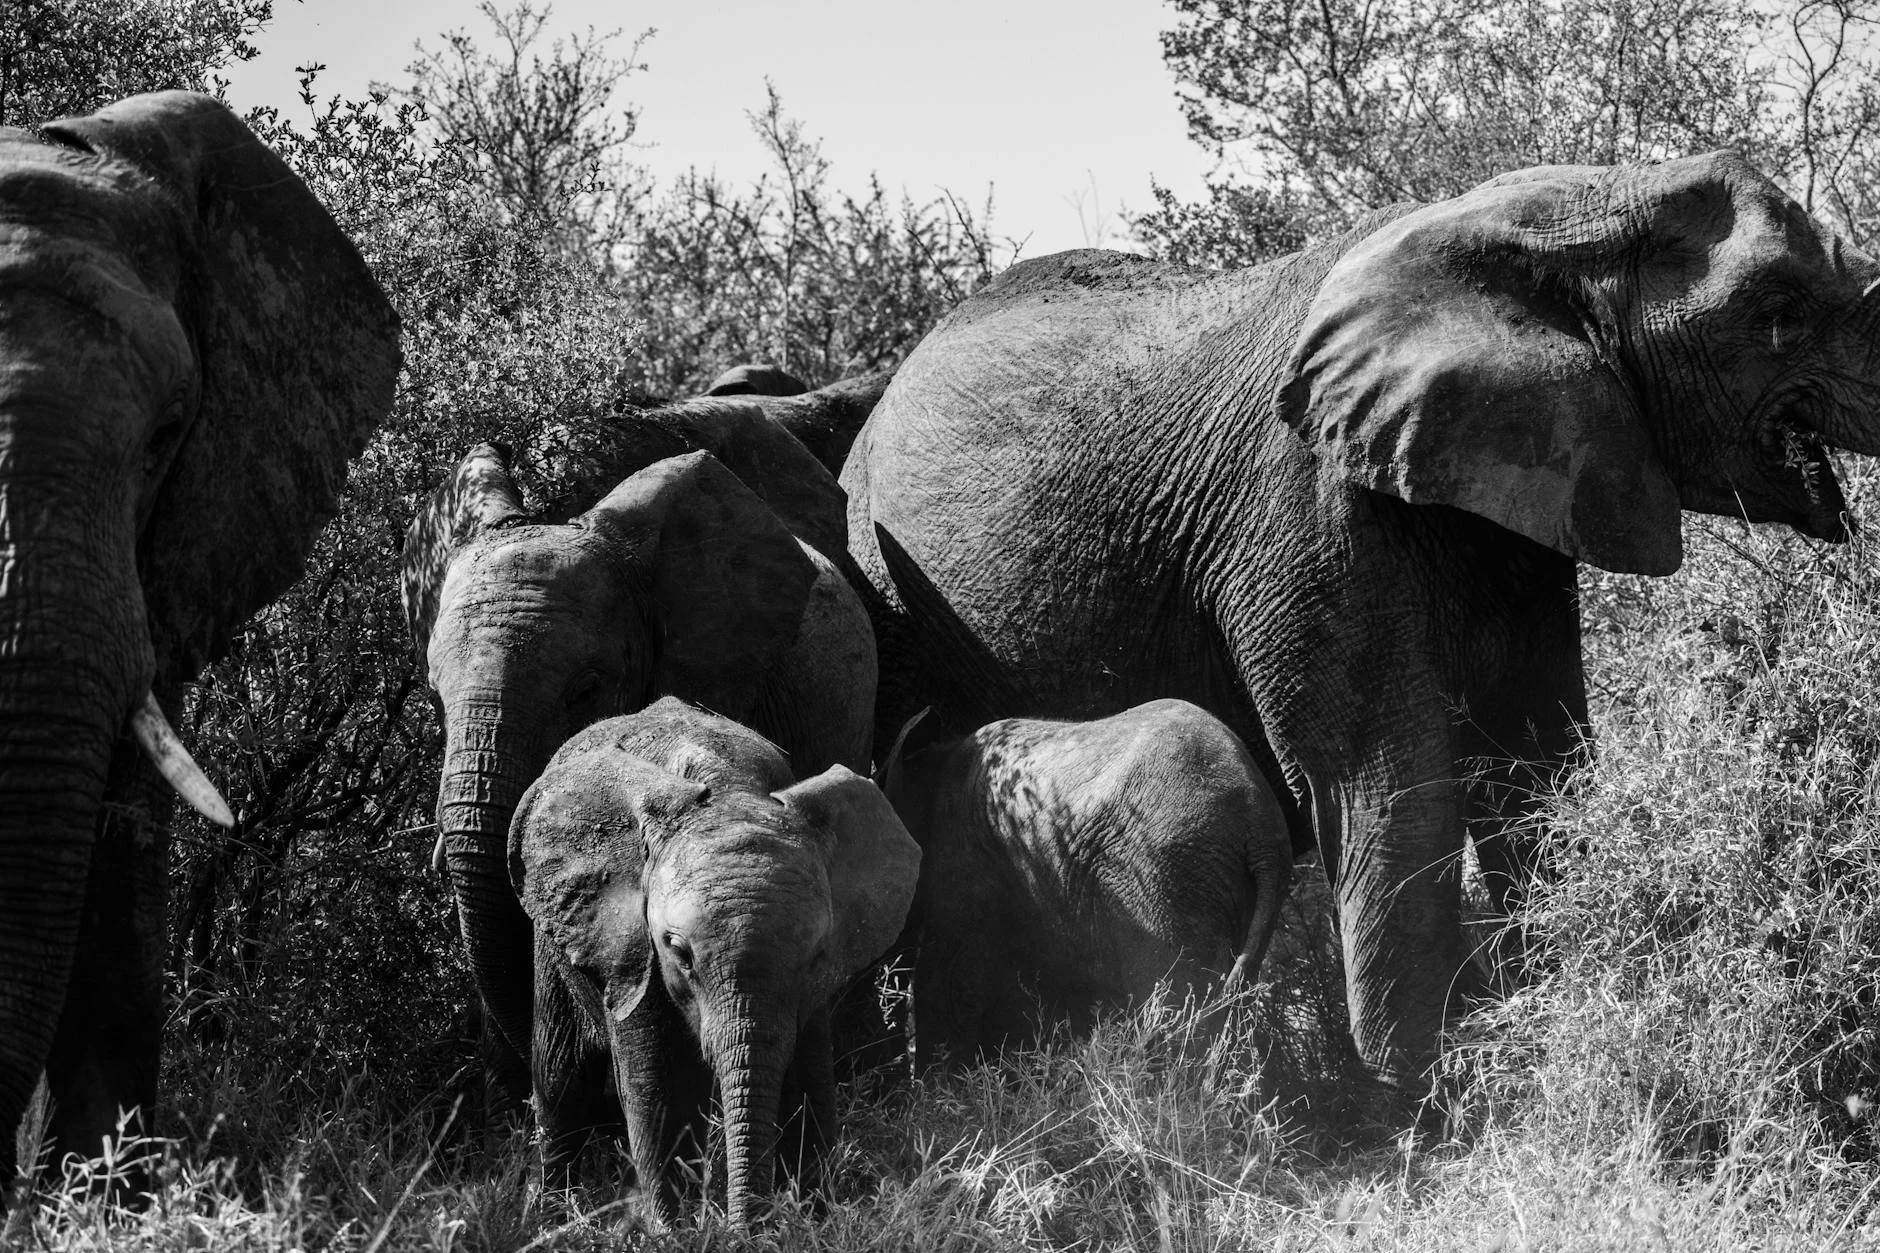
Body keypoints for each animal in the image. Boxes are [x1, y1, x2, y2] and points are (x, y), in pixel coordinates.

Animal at [509, 696, 920, 1225]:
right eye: (678, 951)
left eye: (817, 954)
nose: (745, 1227)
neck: (728, 789)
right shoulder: (633, 948)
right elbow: (657, 1086)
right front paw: (675, 1230)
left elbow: (808, 1074)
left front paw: (811, 1216)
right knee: (560, 1077)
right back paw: (551, 1217)